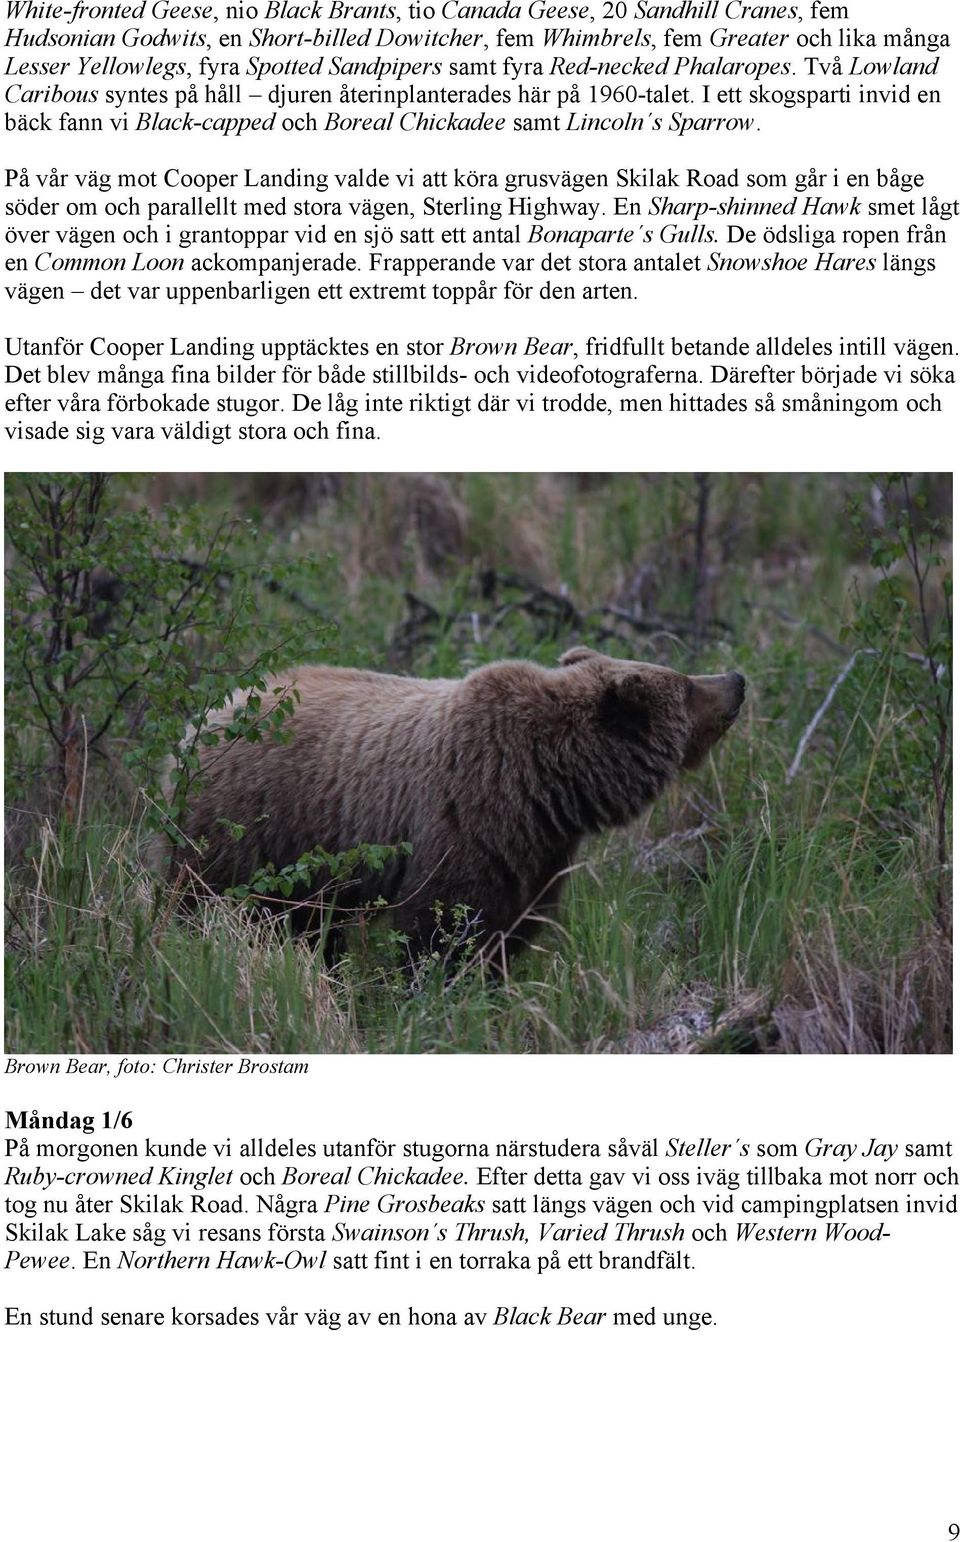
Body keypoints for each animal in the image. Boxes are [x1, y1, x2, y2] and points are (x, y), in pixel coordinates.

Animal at [168, 647, 748, 962]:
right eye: (686, 685)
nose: (737, 679)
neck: (551, 784)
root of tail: (204, 716)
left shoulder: (536, 852)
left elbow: (511, 928)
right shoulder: (467, 817)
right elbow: (444, 928)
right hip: (244, 826)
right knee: (206, 902)